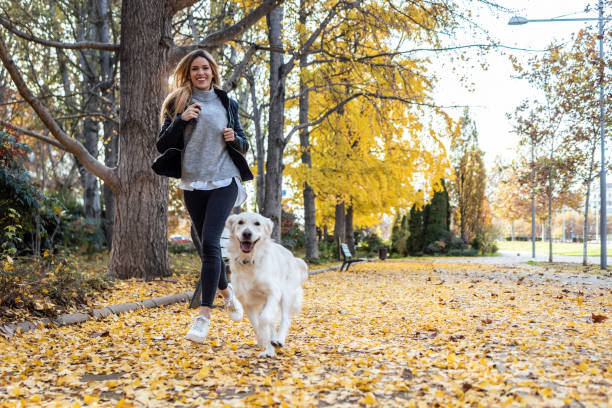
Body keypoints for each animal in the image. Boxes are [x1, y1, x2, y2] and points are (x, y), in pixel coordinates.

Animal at [226, 212, 308, 356]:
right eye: (240, 222)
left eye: (257, 223)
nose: (247, 233)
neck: (249, 261)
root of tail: (292, 257)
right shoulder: (247, 302)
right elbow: (256, 323)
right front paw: (262, 339)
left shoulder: (274, 293)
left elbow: (263, 319)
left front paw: (264, 338)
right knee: (272, 325)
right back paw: (270, 350)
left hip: (286, 295)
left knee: (285, 320)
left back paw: (278, 341)